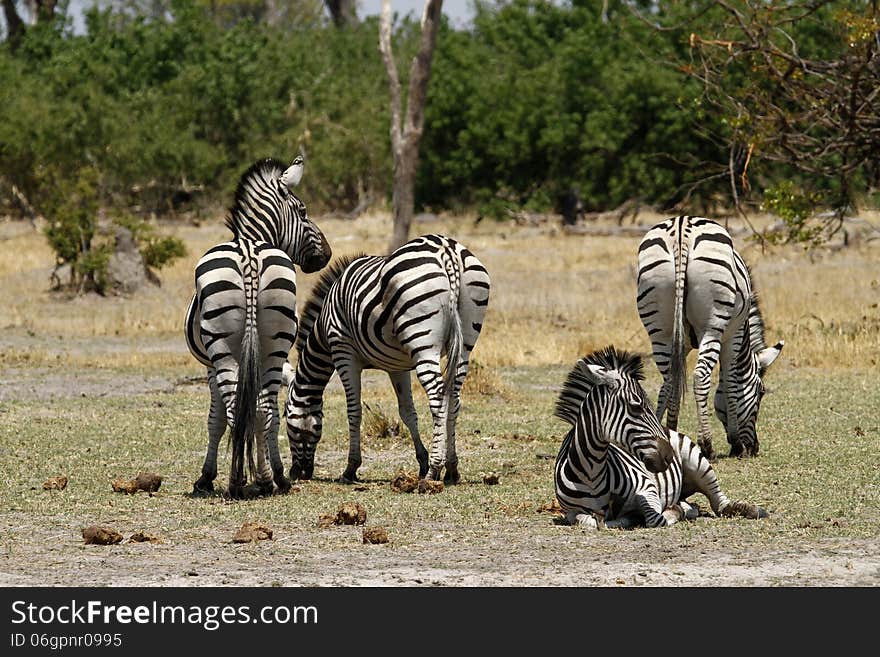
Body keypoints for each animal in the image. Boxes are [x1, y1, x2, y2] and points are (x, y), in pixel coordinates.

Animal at [186, 158, 334, 498]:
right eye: (303, 211)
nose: (327, 255)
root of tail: (249, 255)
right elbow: (262, 414)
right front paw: (270, 473)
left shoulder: (210, 365)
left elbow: (216, 419)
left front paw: (207, 477)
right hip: (274, 345)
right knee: (266, 410)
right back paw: (270, 478)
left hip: (223, 350)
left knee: (233, 411)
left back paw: (238, 481)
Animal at [284, 234, 492, 482]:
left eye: (287, 420)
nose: (297, 473)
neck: (323, 330)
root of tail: (446, 249)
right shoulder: (397, 366)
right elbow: (407, 412)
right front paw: (421, 461)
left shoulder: (343, 352)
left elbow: (354, 411)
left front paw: (351, 468)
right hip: (465, 339)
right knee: (455, 399)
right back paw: (451, 468)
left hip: (422, 341)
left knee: (438, 397)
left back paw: (435, 469)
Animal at [552, 346, 768, 532]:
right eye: (636, 407)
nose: (669, 456)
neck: (592, 472)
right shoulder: (570, 512)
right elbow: (589, 521)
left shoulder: (647, 487)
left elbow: (654, 518)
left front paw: (660, 513)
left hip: (698, 463)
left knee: (720, 504)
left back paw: (750, 509)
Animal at [632, 215, 784, 456]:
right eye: (761, 393)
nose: (754, 448)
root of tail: (681, 227)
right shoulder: (733, 337)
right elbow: (730, 383)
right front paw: (736, 443)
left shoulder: (681, 345)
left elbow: (668, 387)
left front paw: (660, 428)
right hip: (713, 324)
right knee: (700, 376)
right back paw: (707, 444)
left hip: (659, 328)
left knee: (669, 378)